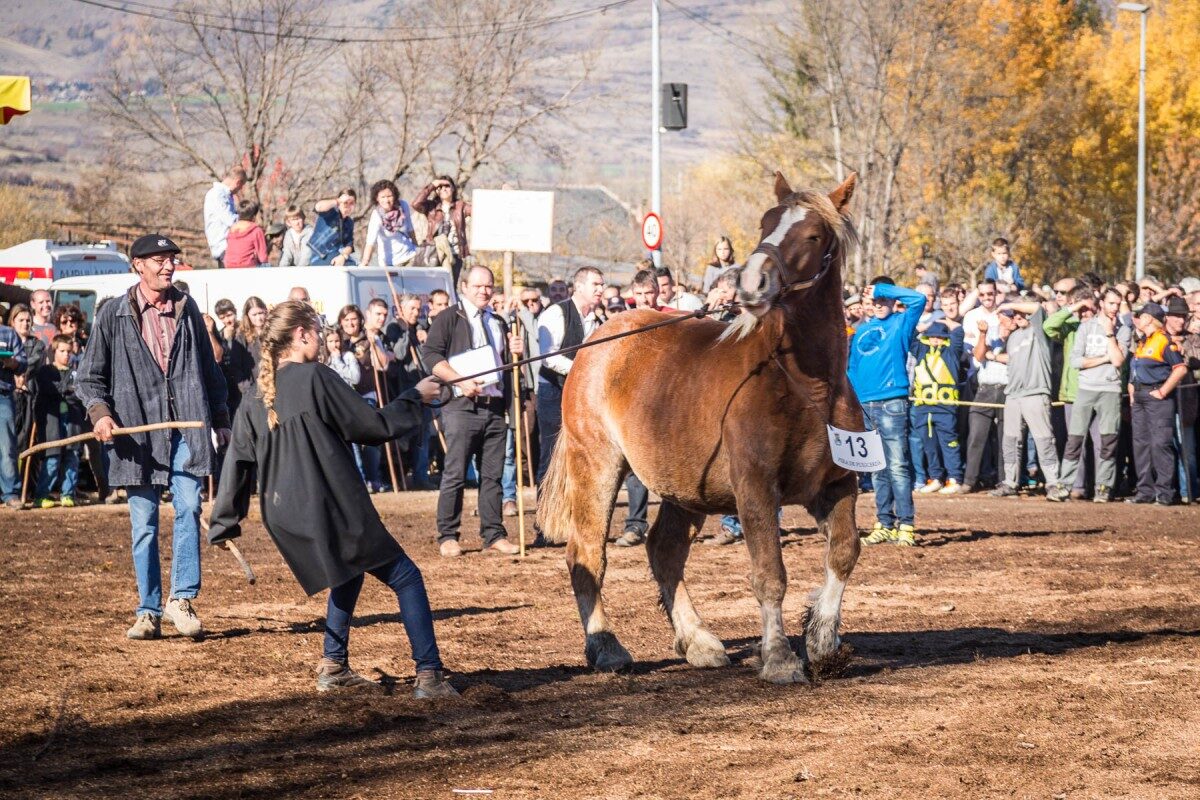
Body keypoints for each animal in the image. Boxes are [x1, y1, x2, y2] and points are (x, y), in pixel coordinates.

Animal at [536, 172, 865, 684]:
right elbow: (770, 573)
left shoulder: (837, 483)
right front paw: (779, 657)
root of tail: (600, 339)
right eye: (766, 223)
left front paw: (823, 641)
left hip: (685, 487)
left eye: (812, 235)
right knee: (586, 555)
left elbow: (844, 553)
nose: (751, 281)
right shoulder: (755, 488)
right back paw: (606, 647)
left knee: (664, 550)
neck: (806, 386)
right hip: (596, 466)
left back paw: (698, 641)